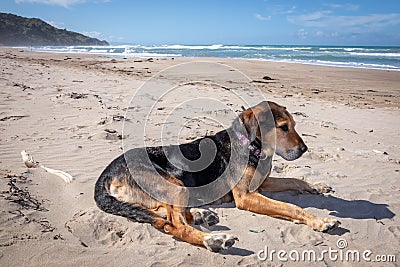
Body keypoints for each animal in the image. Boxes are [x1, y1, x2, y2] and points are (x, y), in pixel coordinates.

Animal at [94, 101, 340, 252]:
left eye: (294, 125)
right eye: (283, 127)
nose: (304, 149)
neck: (251, 146)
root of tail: (107, 173)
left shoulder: (263, 182)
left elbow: (294, 180)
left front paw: (318, 186)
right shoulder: (246, 196)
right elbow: (291, 207)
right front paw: (320, 220)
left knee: (165, 215)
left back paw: (203, 215)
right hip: (176, 184)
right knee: (175, 226)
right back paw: (213, 240)